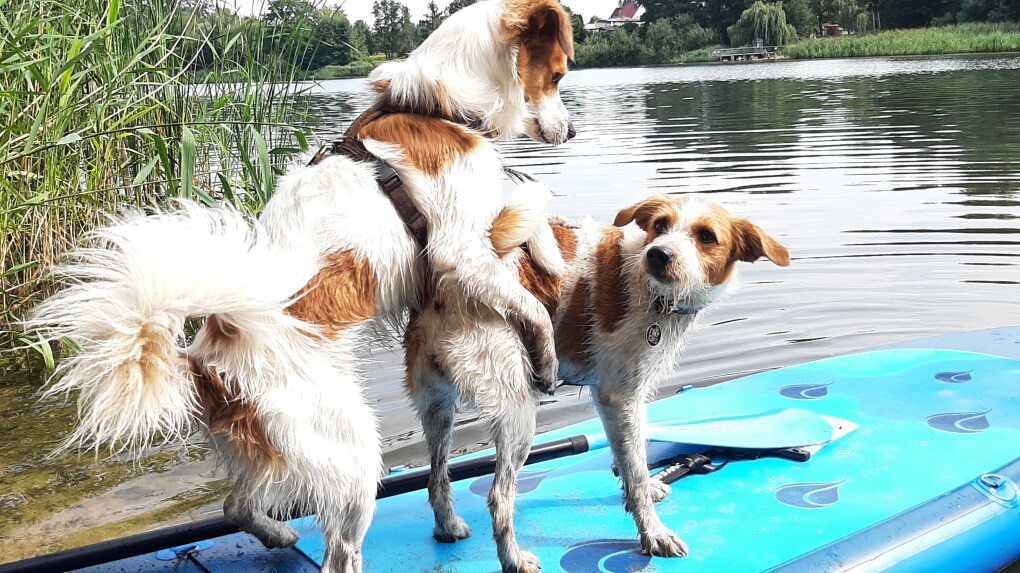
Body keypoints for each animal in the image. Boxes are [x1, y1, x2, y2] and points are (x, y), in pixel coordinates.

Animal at [27, 1, 579, 570]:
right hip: (353, 453)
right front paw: (546, 359)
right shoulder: (461, 250)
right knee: (338, 550)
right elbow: (531, 305)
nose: (573, 133)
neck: (437, 105)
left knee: (236, 505)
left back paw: (278, 534)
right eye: (558, 75)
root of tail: (206, 361)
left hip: (279, 449)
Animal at [405, 191, 787, 566]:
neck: (650, 290)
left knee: (436, 478)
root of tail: (447, 285)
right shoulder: (621, 395)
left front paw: (640, 487)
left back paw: (447, 526)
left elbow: (631, 455)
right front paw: (653, 533)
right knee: (499, 496)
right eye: (660, 225)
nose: (658, 255)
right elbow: (636, 470)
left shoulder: (615, 396)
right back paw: (514, 558)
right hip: (518, 417)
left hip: (438, 408)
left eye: (706, 236)